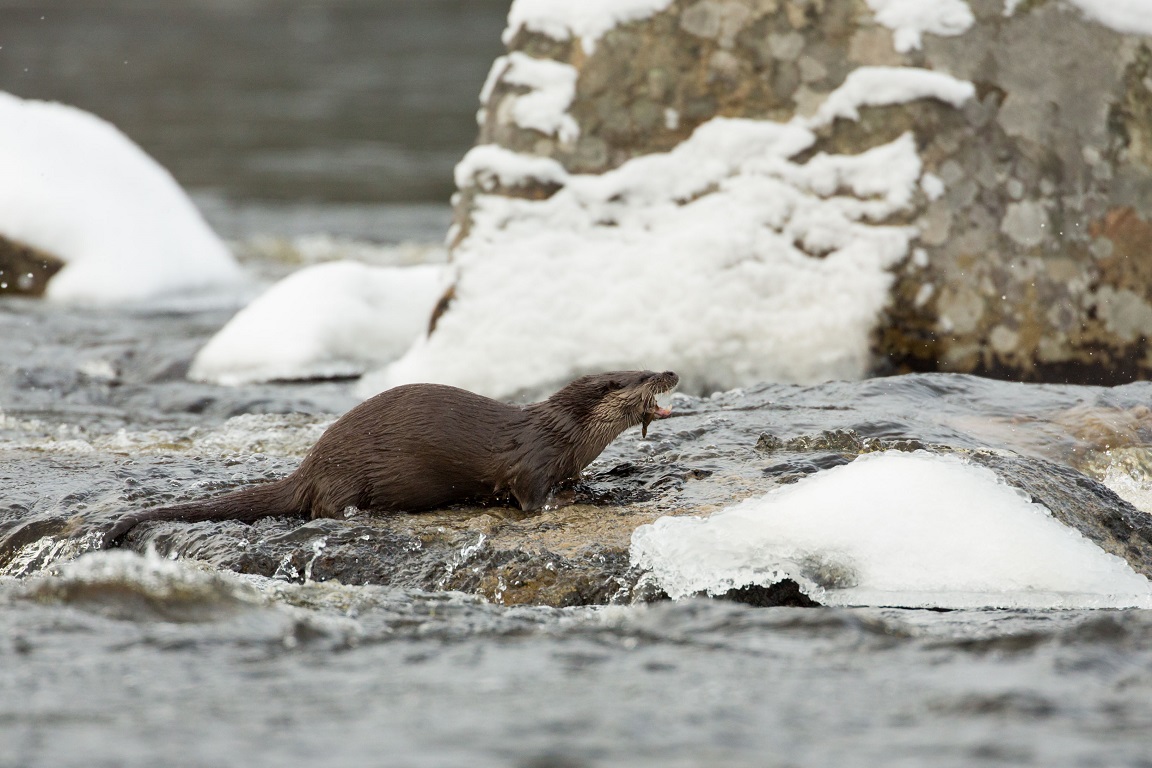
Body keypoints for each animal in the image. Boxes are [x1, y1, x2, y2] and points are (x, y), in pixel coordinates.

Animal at [103, 370, 677, 545]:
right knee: (324, 508)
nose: (671, 372)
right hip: (348, 477)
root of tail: (311, 462)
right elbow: (531, 498)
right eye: (644, 375)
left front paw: (591, 491)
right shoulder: (531, 461)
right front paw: (565, 507)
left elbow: (574, 482)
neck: (569, 434)